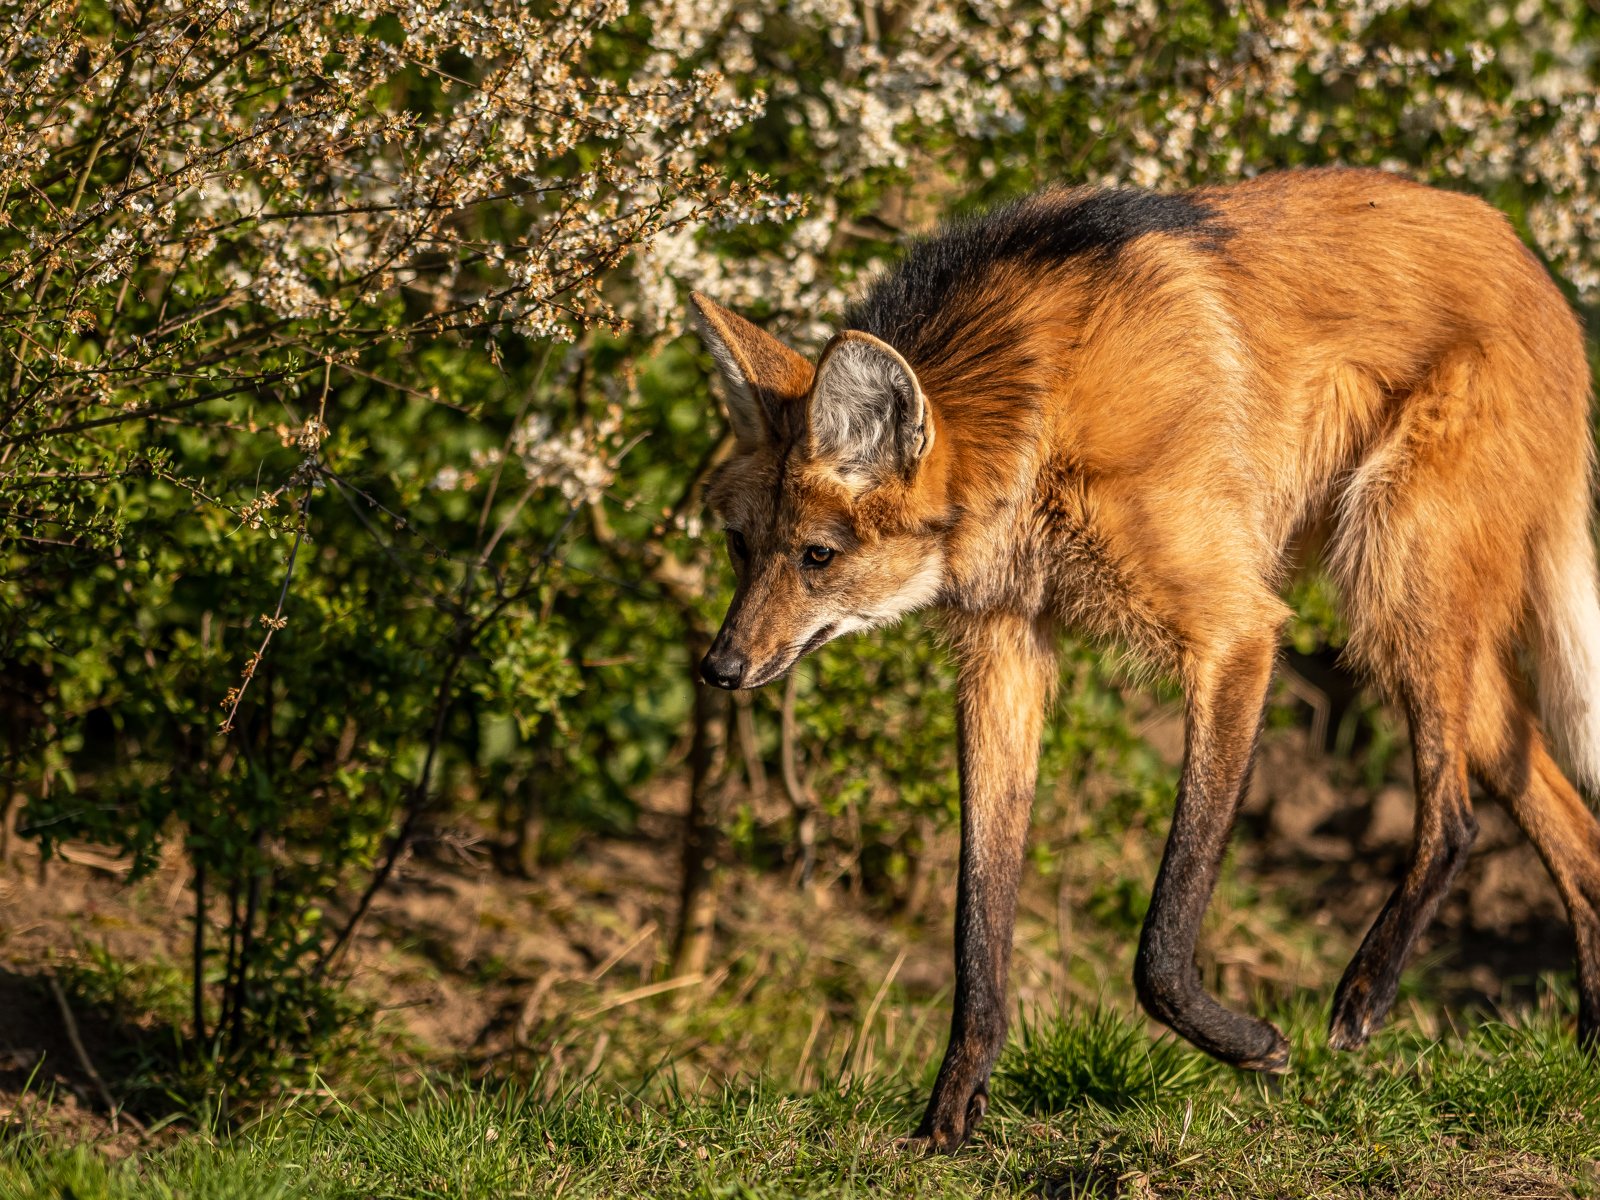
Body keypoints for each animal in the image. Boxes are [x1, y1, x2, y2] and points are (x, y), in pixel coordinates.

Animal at [691, 169, 1600, 1158]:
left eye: (817, 556)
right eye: (741, 548)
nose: (719, 668)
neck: (1038, 415)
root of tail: (1532, 262)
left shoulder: (1238, 632)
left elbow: (1162, 934)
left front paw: (1252, 1044)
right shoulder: (1007, 645)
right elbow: (979, 915)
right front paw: (950, 1112)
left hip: (1395, 570)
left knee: (1457, 819)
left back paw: (1363, 995)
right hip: (1419, 608)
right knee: (1576, 834)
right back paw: (1591, 1053)